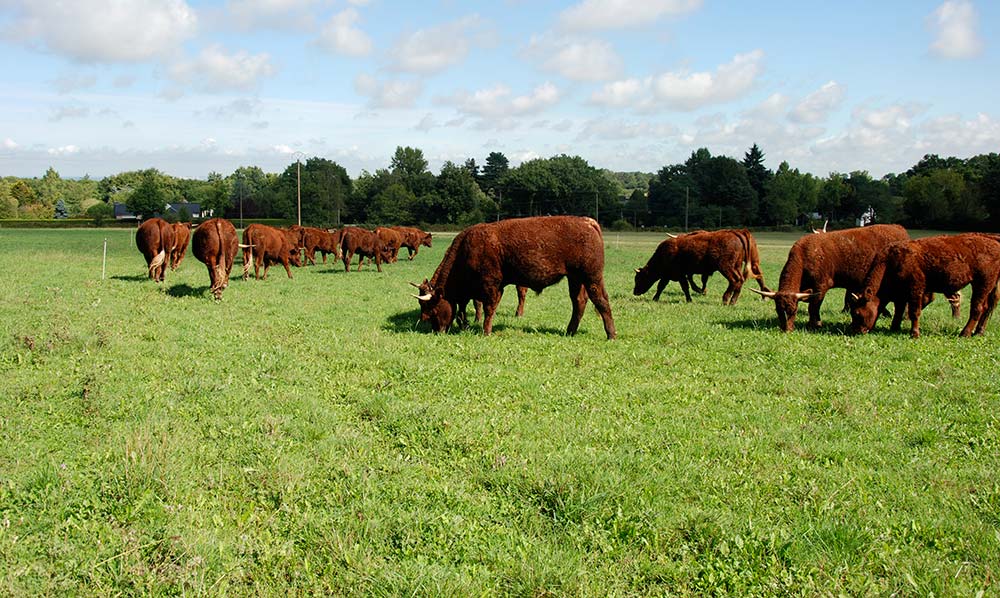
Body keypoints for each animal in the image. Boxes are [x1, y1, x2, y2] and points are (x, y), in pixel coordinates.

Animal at [410, 216, 612, 340]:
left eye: (432, 308)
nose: (437, 331)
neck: (467, 247)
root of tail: (587, 221)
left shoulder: (491, 285)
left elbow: (489, 309)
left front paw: (486, 332)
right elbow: (465, 310)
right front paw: (466, 326)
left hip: (592, 278)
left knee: (601, 301)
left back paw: (611, 335)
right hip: (576, 278)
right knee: (579, 302)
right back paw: (570, 331)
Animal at [632, 229, 772, 308]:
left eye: (639, 278)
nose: (635, 292)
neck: (664, 254)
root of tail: (737, 232)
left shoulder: (678, 275)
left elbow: (678, 287)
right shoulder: (672, 275)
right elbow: (664, 286)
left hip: (725, 267)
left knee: (735, 280)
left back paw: (726, 299)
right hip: (737, 266)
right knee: (741, 280)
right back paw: (733, 301)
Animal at [752, 224, 908, 330]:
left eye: (793, 310)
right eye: (778, 310)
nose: (787, 329)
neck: (805, 256)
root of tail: (897, 228)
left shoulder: (821, 286)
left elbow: (814, 306)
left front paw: (815, 323)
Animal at [848, 233, 1000, 338]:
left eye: (856, 312)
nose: (855, 330)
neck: (891, 261)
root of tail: (993, 240)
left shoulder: (915, 289)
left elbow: (914, 311)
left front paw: (914, 334)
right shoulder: (901, 294)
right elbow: (899, 310)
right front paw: (894, 327)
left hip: (981, 284)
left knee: (977, 308)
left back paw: (965, 333)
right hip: (990, 286)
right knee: (987, 307)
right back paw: (979, 332)